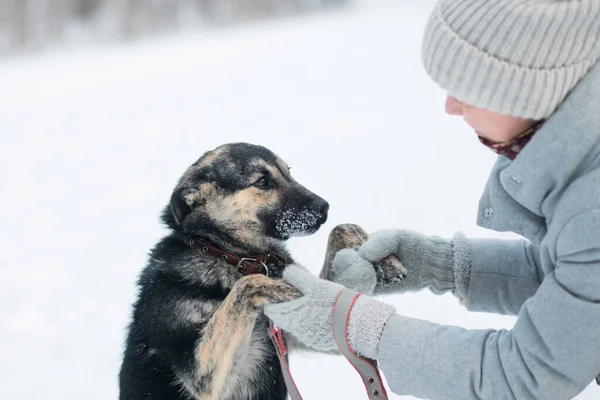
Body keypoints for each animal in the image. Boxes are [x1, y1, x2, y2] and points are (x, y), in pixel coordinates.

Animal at [119, 142, 406, 398]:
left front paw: (386, 260)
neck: (227, 254)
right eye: (262, 182)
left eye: (288, 172)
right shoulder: (202, 374)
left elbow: (342, 228)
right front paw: (300, 293)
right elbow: (249, 283)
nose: (324, 207)